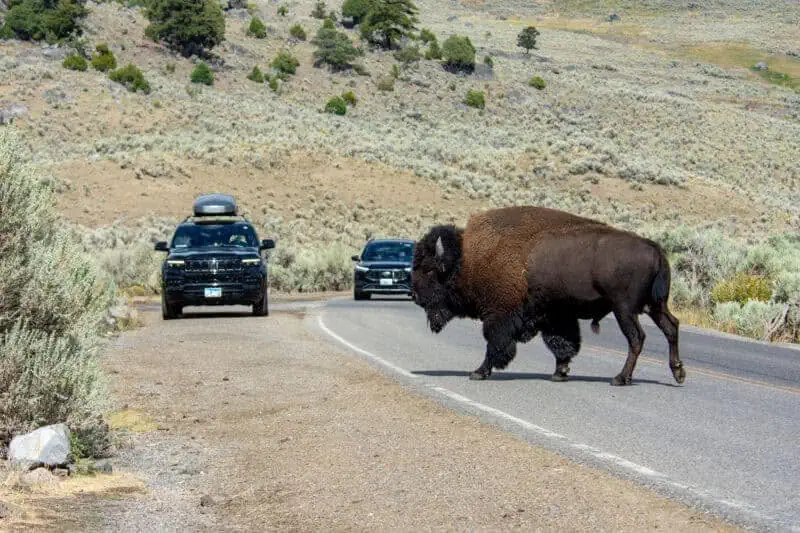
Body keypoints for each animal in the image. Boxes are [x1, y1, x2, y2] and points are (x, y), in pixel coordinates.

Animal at [410, 205, 685, 386]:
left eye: (429, 269)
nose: (414, 295)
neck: (467, 259)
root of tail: (656, 249)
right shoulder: (556, 315)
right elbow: (562, 344)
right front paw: (559, 373)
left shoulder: (499, 315)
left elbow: (494, 344)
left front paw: (478, 372)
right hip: (655, 305)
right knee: (671, 327)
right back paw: (678, 373)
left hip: (624, 309)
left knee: (637, 338)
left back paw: (620, 378)